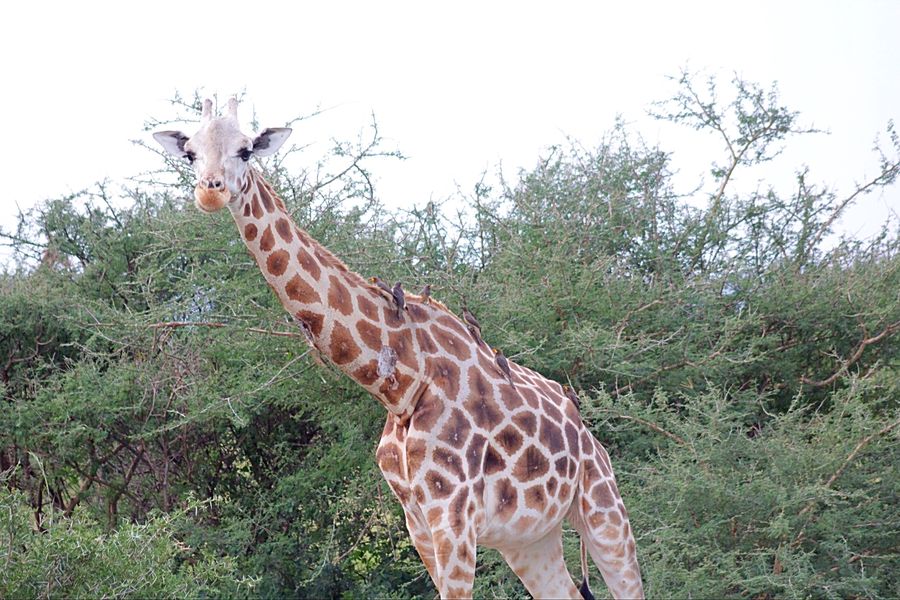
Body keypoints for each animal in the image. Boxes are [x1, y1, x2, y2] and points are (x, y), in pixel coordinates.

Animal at [153, 98, 644, 599]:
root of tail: (589, 434)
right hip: (529, 537)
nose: (210, 191)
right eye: (190, 154)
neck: (402, 383)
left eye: (246, 150)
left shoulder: (453, 516)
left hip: (603, 509)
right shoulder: (418, 523)